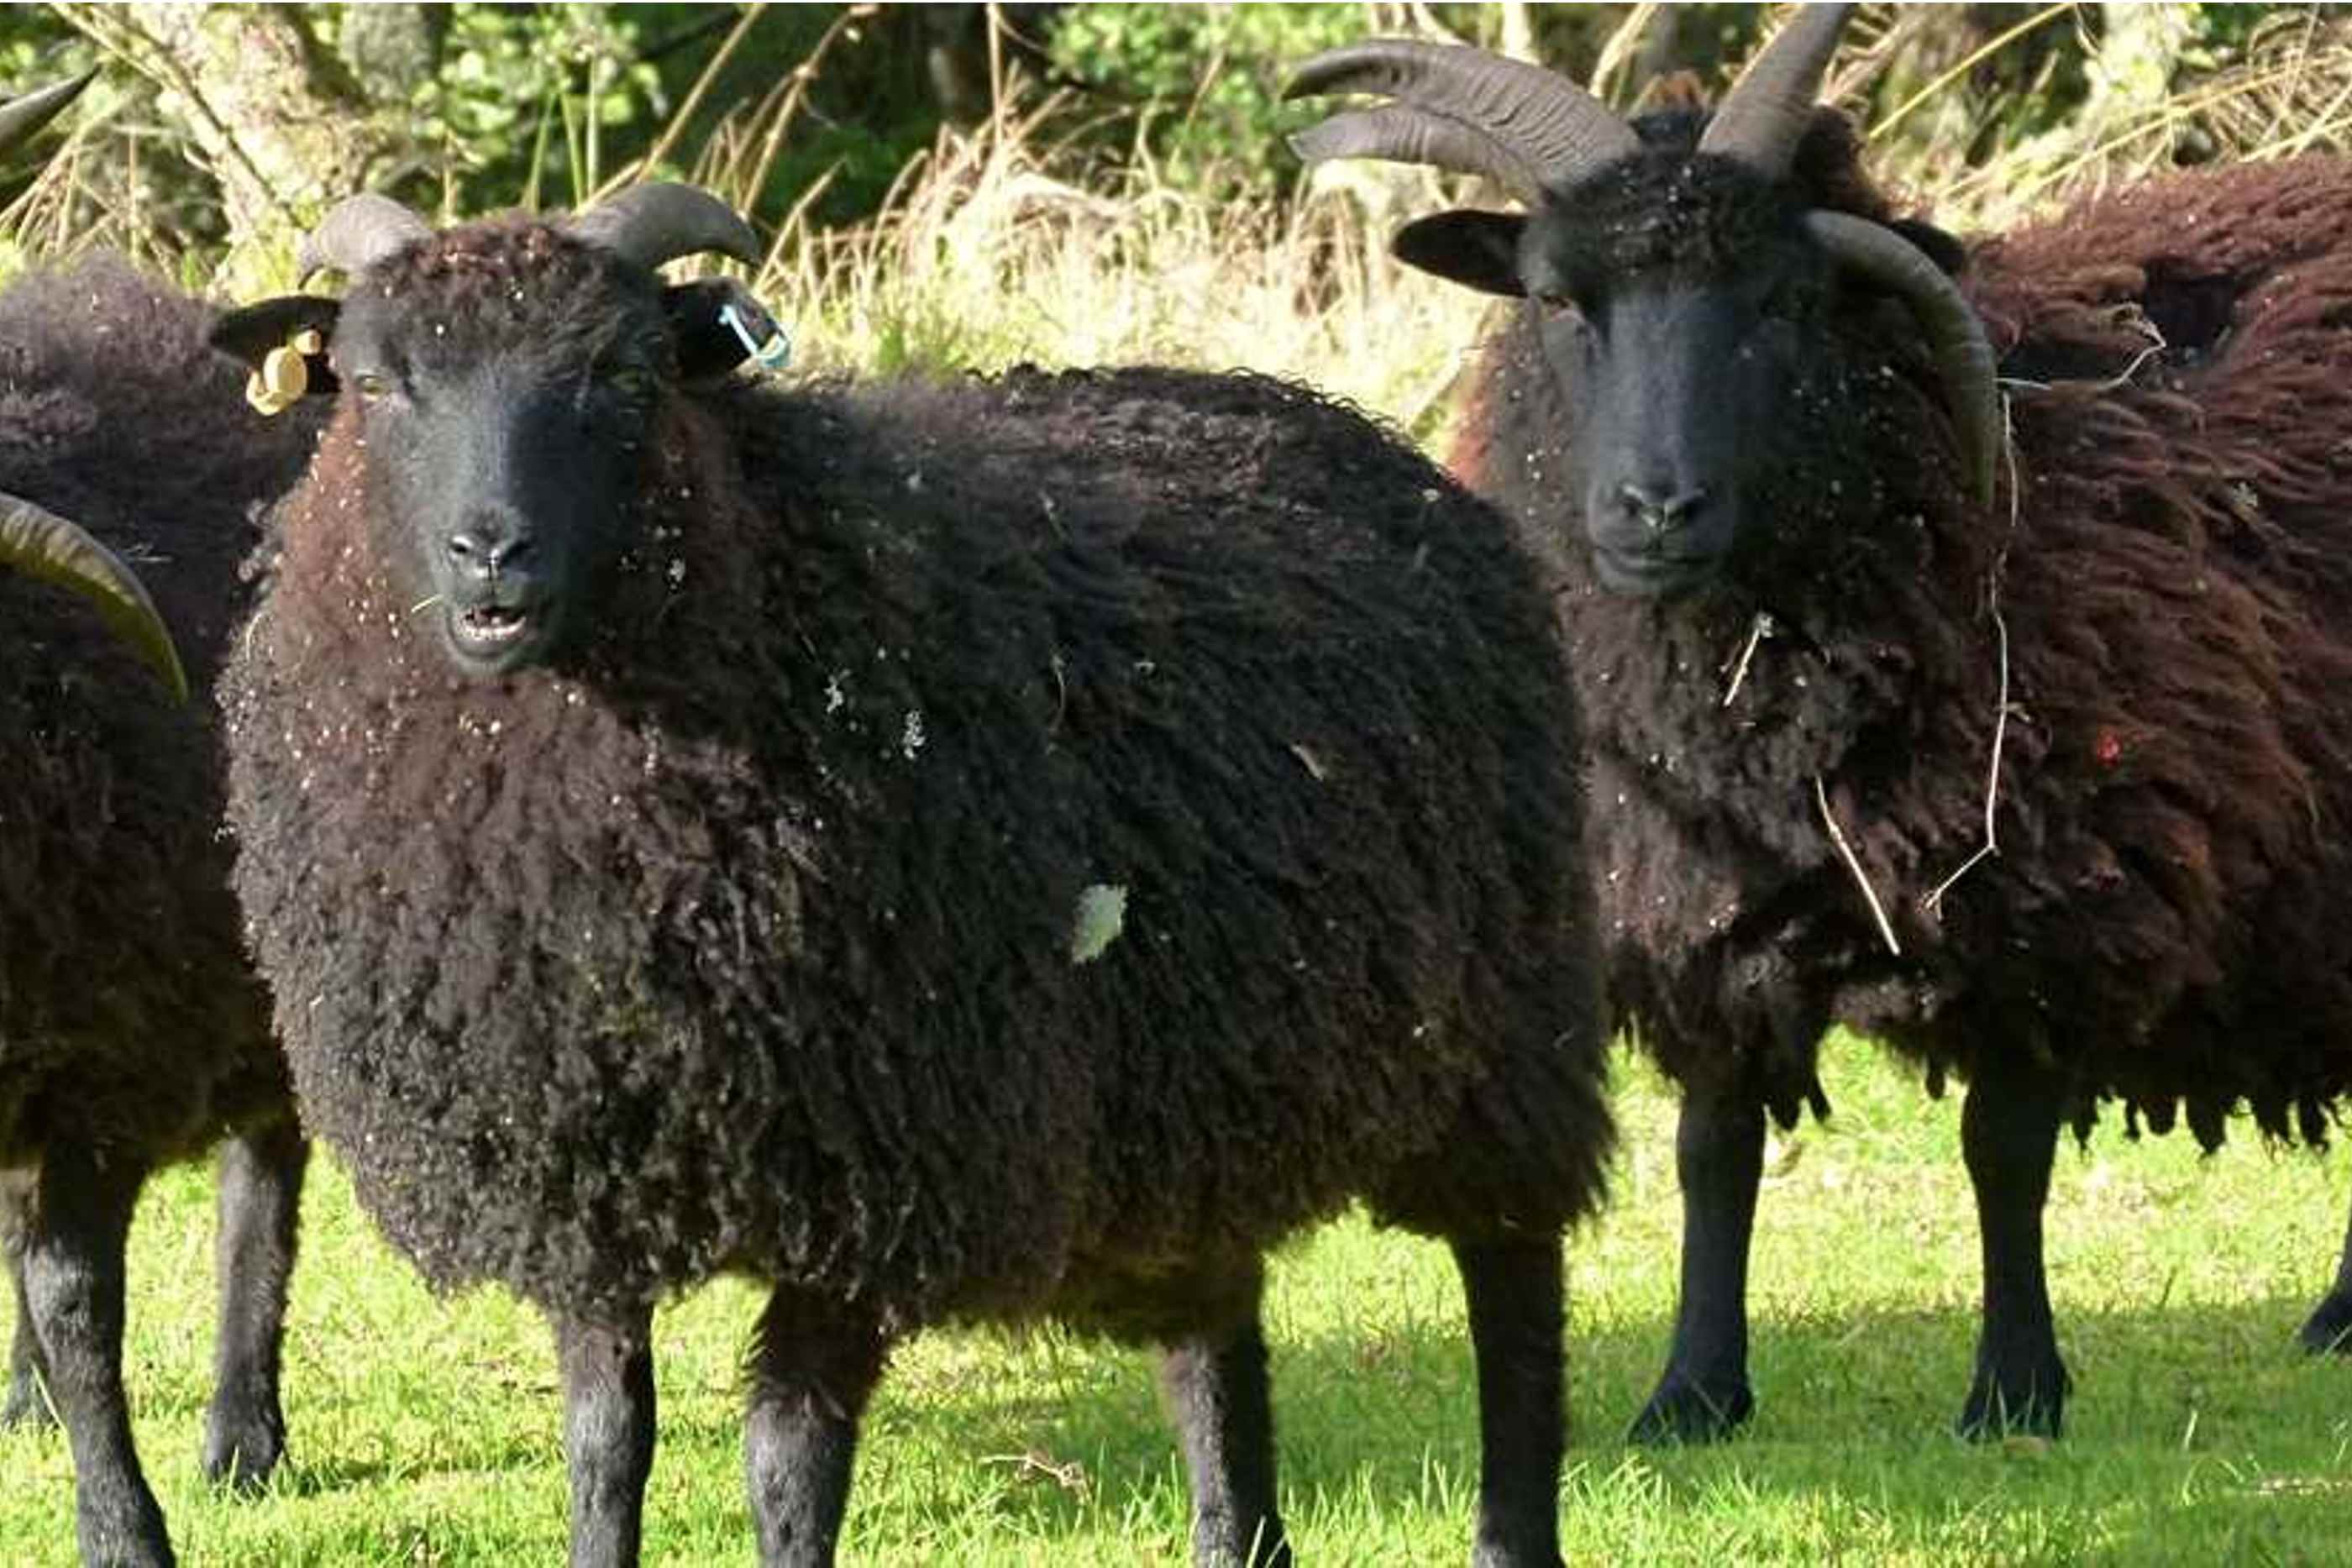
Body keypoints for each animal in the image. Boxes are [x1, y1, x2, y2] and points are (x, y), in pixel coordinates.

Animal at [216, 186, 1618, 1568]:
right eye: (376, 381)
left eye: (622, 371)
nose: (490, 552)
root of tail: (1394, 458)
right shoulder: (582, 1170)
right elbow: (605, 1440)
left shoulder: (878, 1167)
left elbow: (788, 1460)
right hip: (1195, 1079)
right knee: (1217, 1341)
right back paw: (1238, 1537)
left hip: (1505, 1022)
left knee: (1513, 1282)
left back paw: (1513, 1533)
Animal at [1298, 3, 2352, 1448]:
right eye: (1563, 300)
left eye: (1783, 303)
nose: (1655, 508)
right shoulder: (1694, 896)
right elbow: (1714, 1150)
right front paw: (1690, 1392)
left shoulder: (2050, 898)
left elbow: (2003, 1151)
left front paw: (2014, 1389)